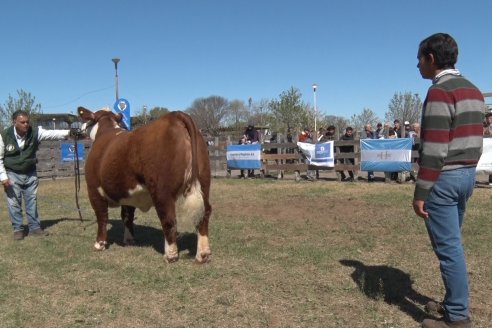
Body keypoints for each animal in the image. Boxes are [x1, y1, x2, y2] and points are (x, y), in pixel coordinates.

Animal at [78, 106, 212, 262]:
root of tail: (175, 116)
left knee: (169, 218)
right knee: (204, 214)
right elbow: (127, 216)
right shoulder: (127, 193)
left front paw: (99, 244)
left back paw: (170, 255)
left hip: (162, 191)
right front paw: (129, 240)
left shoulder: (93, 189)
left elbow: (101, 217)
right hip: (204, 182)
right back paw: (202, 254)